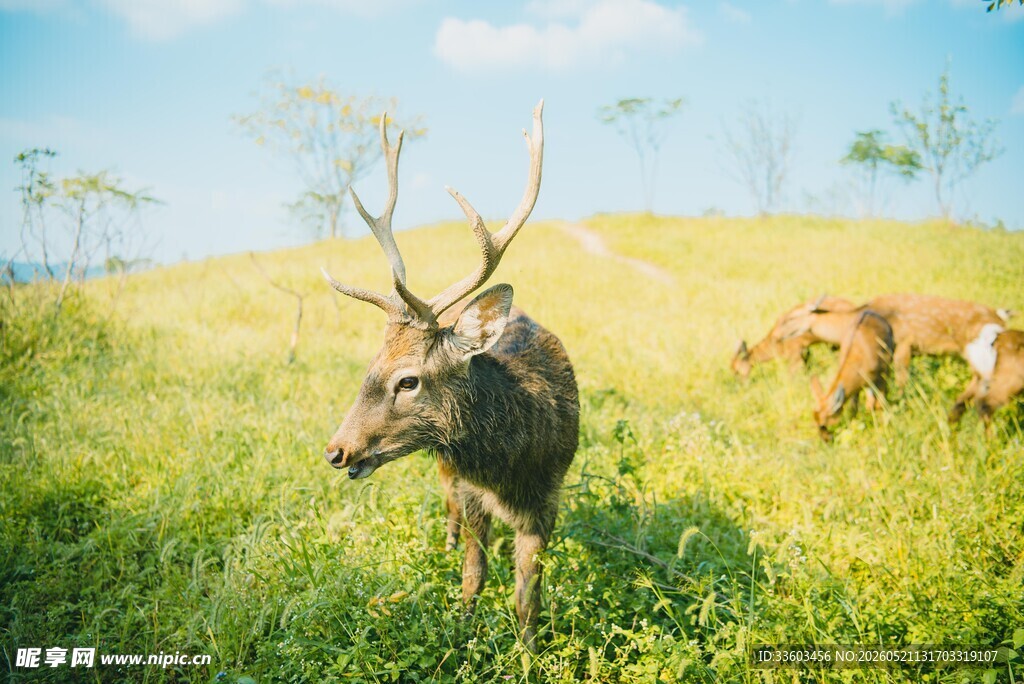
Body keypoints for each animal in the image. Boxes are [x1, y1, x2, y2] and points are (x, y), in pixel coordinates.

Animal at [319, 102, 579, 651]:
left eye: (408, 381)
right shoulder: (470, 490)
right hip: (446, 474)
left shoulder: (550, 497)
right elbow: (472, 574)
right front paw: (461, 631)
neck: (509, 470)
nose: (336, 450)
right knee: (450, 515)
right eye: (371, 368)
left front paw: (528, 652)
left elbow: (528, 595)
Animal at [810, 310, 894, 442]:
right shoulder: (860, 386)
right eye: (815, 420)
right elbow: (856, 408)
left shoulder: (880, 377)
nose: (826, 441)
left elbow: (879, 405)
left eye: (824, 424)